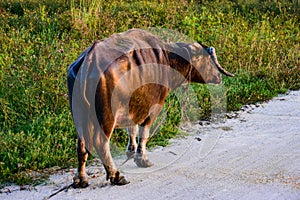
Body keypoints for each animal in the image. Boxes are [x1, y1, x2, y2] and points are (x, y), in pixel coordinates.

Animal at [67, 28, 234, 188]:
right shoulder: (154, 106)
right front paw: (142, 159)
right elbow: (144, 132)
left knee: (81, 145)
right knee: (101, 142)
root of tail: (89, 60)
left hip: (80, 114)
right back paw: (117, 176)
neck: (167, 59)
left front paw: (131, 151)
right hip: (106, 115)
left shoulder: (135, 106)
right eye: (208, 60)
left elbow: (132, 129)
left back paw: (80, 179)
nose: (219, 77)